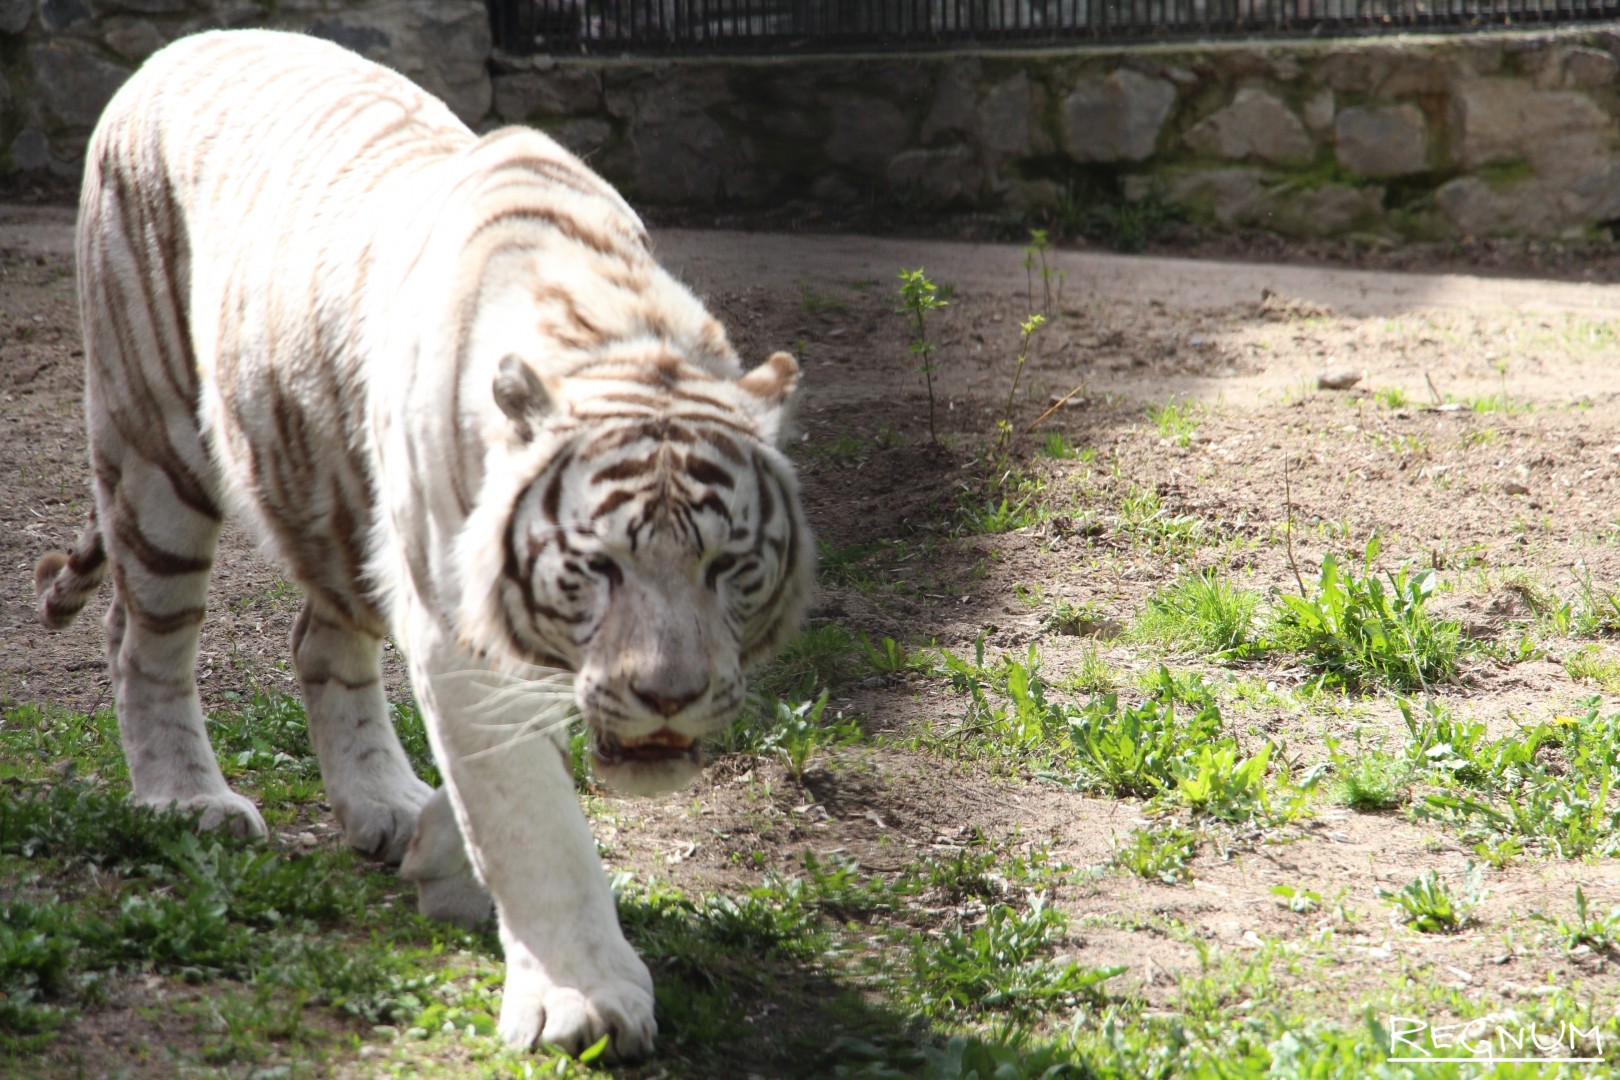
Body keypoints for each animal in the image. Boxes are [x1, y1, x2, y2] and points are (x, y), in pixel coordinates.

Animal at [38, 29, 816, 1062]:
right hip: (156, 443)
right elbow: (533, 818)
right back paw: (188, 802)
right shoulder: (461, 632)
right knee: (143, 636)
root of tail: (184, 42)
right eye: (600, 567)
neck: (614, 333)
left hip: (330, 493)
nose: (669, 699)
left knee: (317, 642)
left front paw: (440, 857)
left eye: (728, 567)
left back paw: (384, 805)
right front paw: (583, 998)